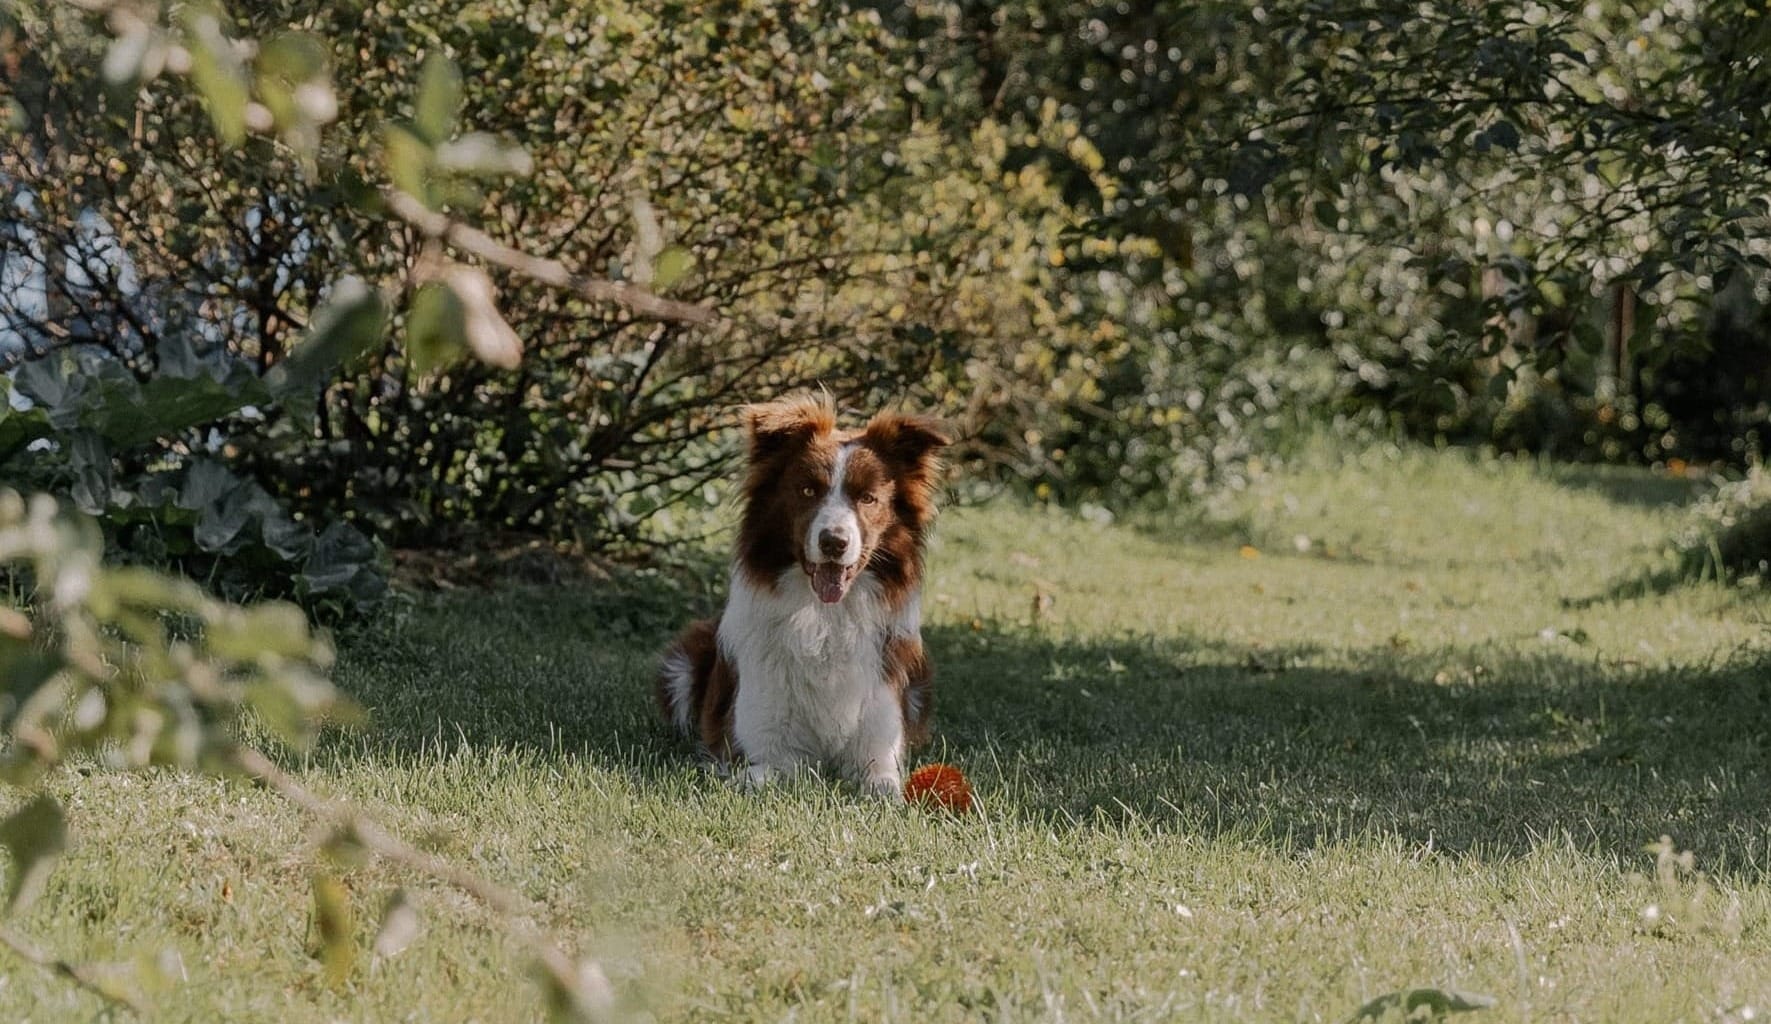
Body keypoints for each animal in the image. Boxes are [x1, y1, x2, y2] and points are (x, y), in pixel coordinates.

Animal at [655, 395, 956, 793]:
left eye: (868, 498)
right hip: (682, 666)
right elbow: (771, 772)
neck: (825, 618)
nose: (834, 542)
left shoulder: (879, 741)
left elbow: (884, 783)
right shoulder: (766, 747)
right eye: (808, 490)